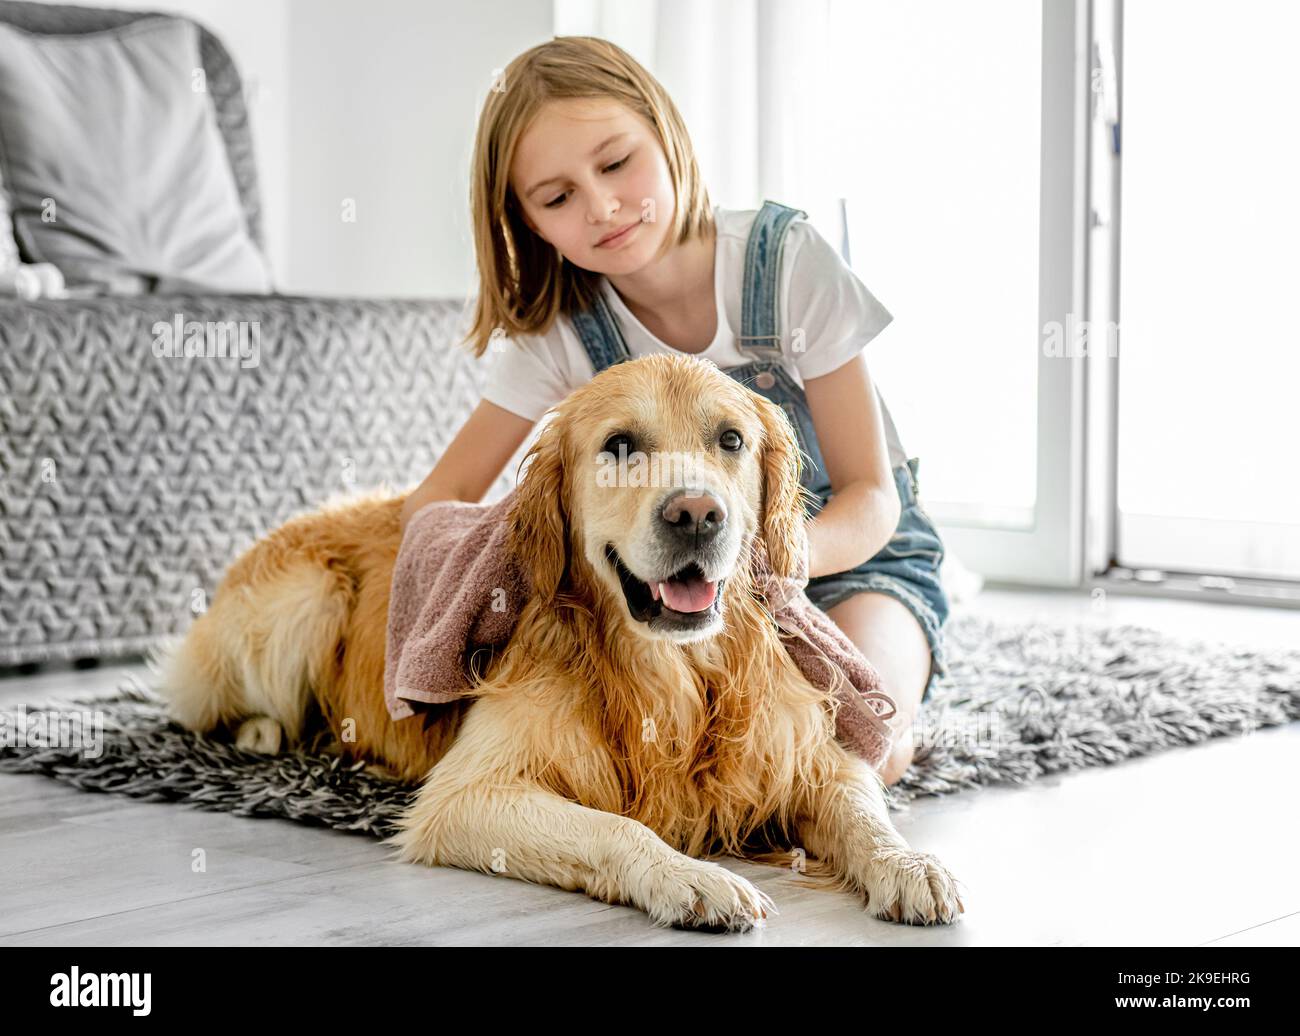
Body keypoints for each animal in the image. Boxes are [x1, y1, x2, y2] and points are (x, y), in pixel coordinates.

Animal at [152, 350, 967, 925]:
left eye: (731, 440)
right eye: (620, 446)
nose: (697, 514)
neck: (673, 673)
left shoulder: (810, 759)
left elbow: (865, 814)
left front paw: (910, 865)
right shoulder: (469, 795)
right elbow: (618, 829)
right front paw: (692, 877)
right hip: (307, 599)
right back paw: (269, 736)